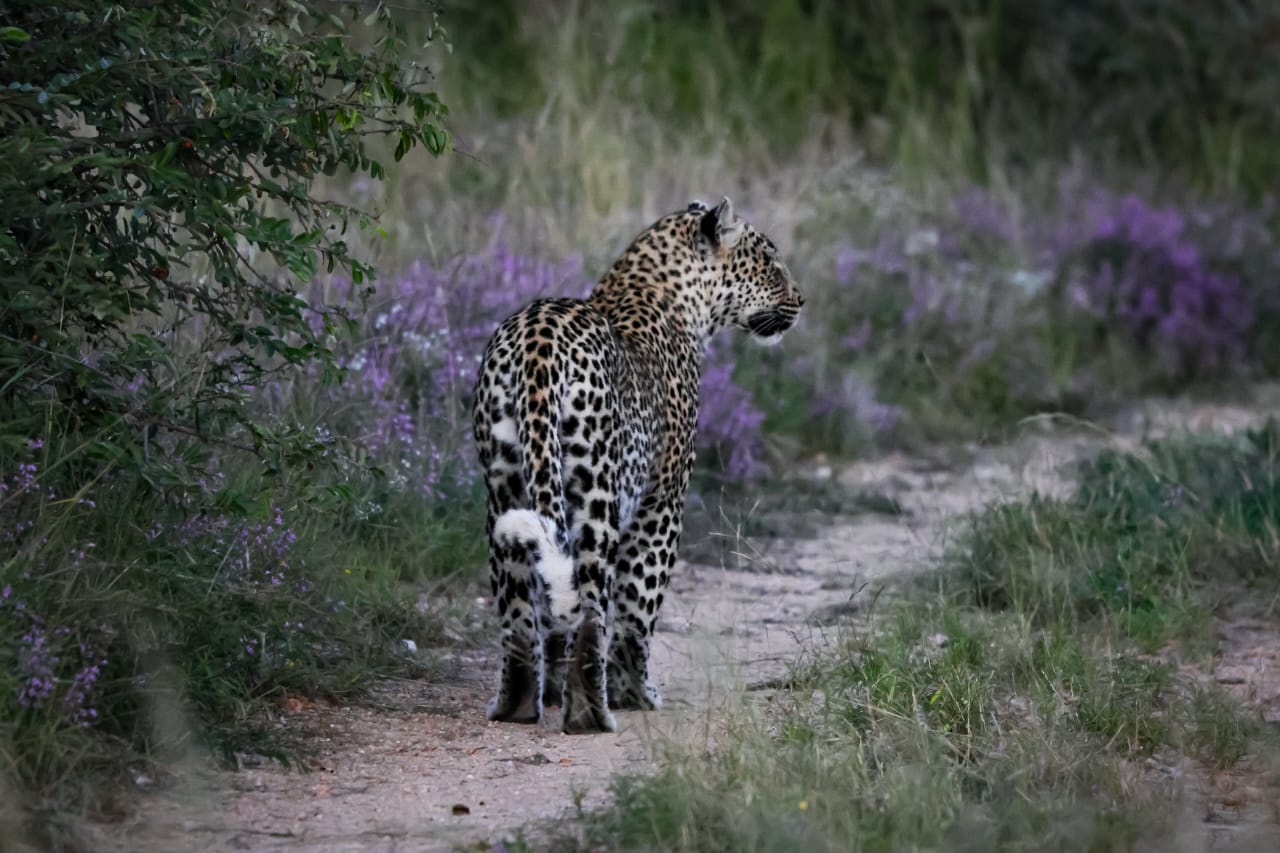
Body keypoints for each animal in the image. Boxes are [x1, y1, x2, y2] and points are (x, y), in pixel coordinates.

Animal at [471, 197, 804, 733]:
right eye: (770, 262)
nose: (802, 300)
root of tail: (538, 342)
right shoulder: (662, 503)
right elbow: (639, 608)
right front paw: (637, 693)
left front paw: (556, 687)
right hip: (596, 497)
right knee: (591, 607)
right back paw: (593, 714)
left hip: (503, 491)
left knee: (519, 607)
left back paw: (518, 706)